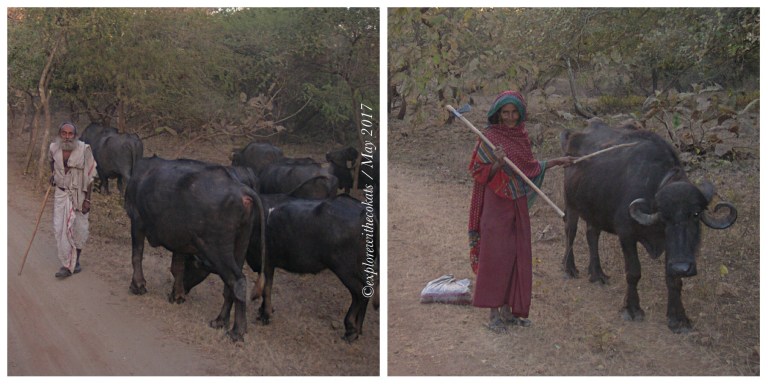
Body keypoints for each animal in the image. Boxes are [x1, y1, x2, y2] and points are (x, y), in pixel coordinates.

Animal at [122, 156, 260, 342]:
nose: (186, 289)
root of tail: (241, 191)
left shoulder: (137, 220)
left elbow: (137, 254)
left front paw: (137, 286)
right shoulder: (180, 241)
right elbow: (177, 267)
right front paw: (177, 295)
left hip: (217, 249)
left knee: (237, 281)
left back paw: (237, 330)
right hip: (240, 247)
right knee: (229, 286)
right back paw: (219, 321)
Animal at [560, 120, 736, 332]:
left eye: (695, 214)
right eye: (665, 217)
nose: (683, 267)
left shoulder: (672, 249)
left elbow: (673, 279)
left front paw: (678, 318)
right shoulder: (626, 235)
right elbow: (634, 272)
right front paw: (632, 309)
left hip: (595, 211)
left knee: (592, 234)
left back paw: (597, 274)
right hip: (571, 203)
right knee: (571, 231)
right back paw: (569, 268)